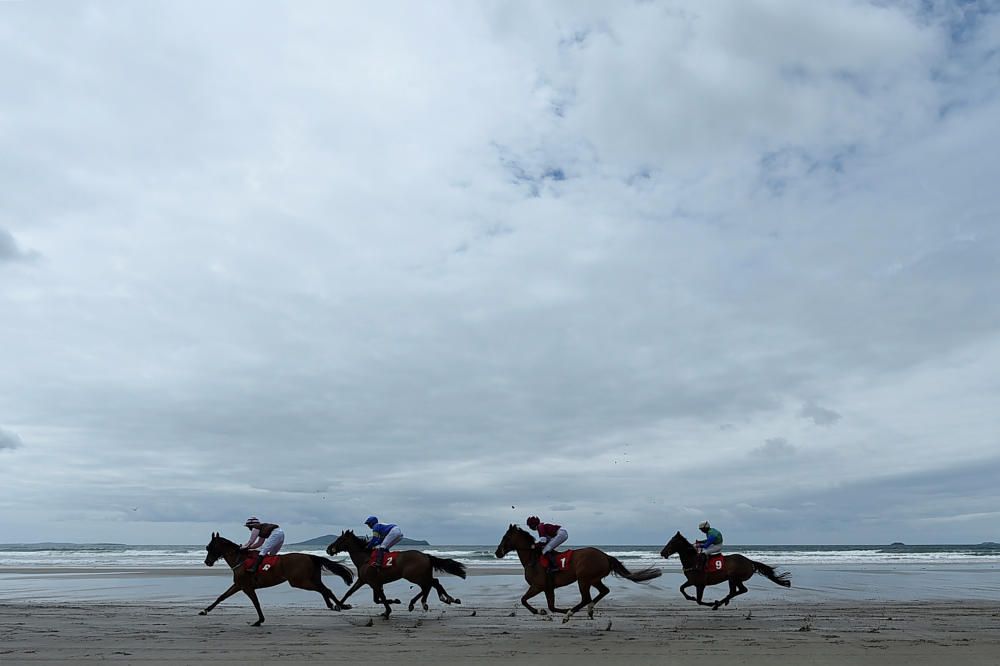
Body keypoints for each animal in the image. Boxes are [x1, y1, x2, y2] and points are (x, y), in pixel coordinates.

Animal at [199, 532, 356, 624]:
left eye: (210, 547)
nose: (207, 562)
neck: (240, 560)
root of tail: (310, 556)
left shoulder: (246, 587)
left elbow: (256, 602)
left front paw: (260, 620)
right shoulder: (239, 585)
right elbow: (221, 597)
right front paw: (204, 610)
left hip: (299, 581)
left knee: (325, 590)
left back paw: (339, 605)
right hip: (311, 579)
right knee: (325, 589)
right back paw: (336, 605)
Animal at [328, 528, 468, 616]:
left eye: (339, 539)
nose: (329, 549)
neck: (365, 559)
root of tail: (426, 556)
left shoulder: (374, 583)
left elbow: (381, 598)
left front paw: (388, 610)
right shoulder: (365, 581)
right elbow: (351, 593)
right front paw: (339, 605)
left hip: (413, 575)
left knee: (428, 585)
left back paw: (429, 601)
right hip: (421, 575)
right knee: (433, 583)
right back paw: (445, 599)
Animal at [494, 524, 664, 624]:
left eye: (505, 537)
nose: (497, 553)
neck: (533, 558)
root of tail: (605, 556)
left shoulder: (538, 586)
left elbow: (525, 600)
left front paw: (544, 612)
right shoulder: (547, 588)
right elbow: (550, 606)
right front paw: (546, 613)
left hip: (583, 580)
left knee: (586, 598)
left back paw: (571, 614)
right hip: (593, 579)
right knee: (604, 591)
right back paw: (588, 610)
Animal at [660, 528, 792, 608]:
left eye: (672, 542)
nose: (662, 553)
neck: (693, 560)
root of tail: (750, 561)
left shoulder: (700, 584)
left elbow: (699, 600)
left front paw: (710, 603)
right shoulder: (692, 581)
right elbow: (682, 589)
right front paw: (690, 597)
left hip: (734, 578)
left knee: (738, 591)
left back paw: (718, 603)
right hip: (733, 579)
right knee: (737, 591)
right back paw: (722, 601)